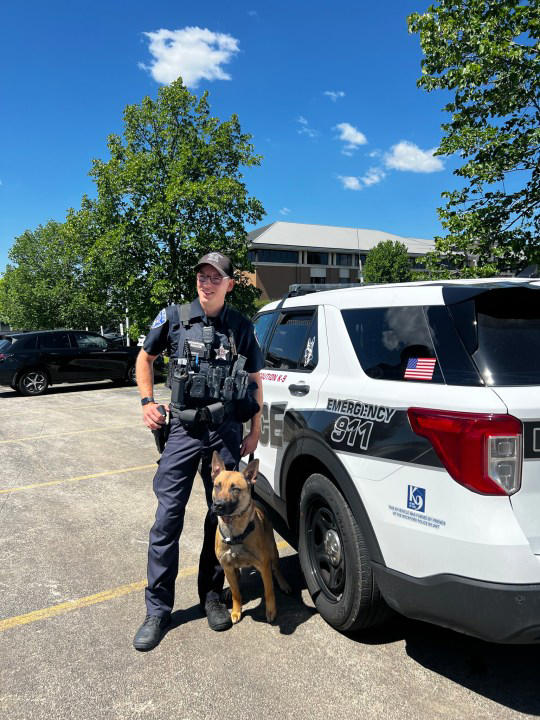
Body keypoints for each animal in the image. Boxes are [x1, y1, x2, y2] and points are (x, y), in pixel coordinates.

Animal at [211, 450, 292, 624]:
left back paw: (283, 584)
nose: (218, 505)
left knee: (277, 568)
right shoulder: (227, 567)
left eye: (235, 489)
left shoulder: (264, 566)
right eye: (217, 486)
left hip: (273, 551)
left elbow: (269, 591)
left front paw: (271, 611)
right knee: (237, 577)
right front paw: (236, 611)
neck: (235, 533)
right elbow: (236, 593)